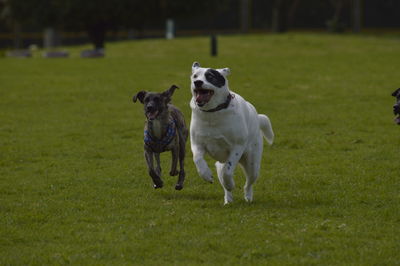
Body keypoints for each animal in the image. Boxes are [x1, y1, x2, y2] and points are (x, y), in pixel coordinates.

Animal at [189, 61, 274, 204]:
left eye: (210, 76)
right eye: (195, 76)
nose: (198, 82)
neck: (213, 114)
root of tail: (257, 117)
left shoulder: (237, 147)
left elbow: (228, 171)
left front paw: (231, 184)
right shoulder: (197, 144)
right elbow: (198, 159)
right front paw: (206, 174)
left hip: (253, 164)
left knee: (248, 183)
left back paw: (248, 197)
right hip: (220, 164)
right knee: (222, 174)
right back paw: (228, 200)